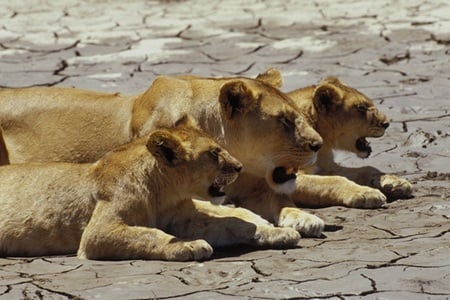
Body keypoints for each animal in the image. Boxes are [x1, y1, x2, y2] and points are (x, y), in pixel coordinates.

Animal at [1, 116, 302, 260]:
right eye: (214, 153)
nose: (239, 167)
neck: (165, 191)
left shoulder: (185, 217)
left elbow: (233, 223)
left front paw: (276, 233)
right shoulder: (99, 231)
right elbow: (148, 234)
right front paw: (188, 246)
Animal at [224, 69, 412, 232]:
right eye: (361, 108)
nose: (386, 123)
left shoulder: (327, 166)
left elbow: (366, 169)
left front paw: (395, 183)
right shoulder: (287, 175)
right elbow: (334, 181)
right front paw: (366, 193)